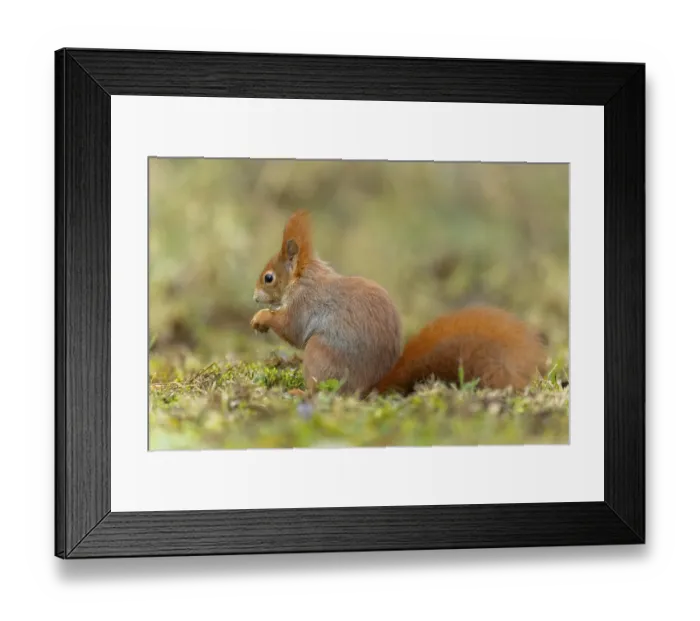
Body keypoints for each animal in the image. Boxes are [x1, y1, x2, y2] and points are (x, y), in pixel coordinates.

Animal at [251, 209, 548, 397]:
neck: (303, 278)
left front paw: (262, 318)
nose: (254, 297)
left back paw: (300, 392)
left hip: (319, 355)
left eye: (268, 278)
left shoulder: (304, 304)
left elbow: (291, 329)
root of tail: (369, 388)